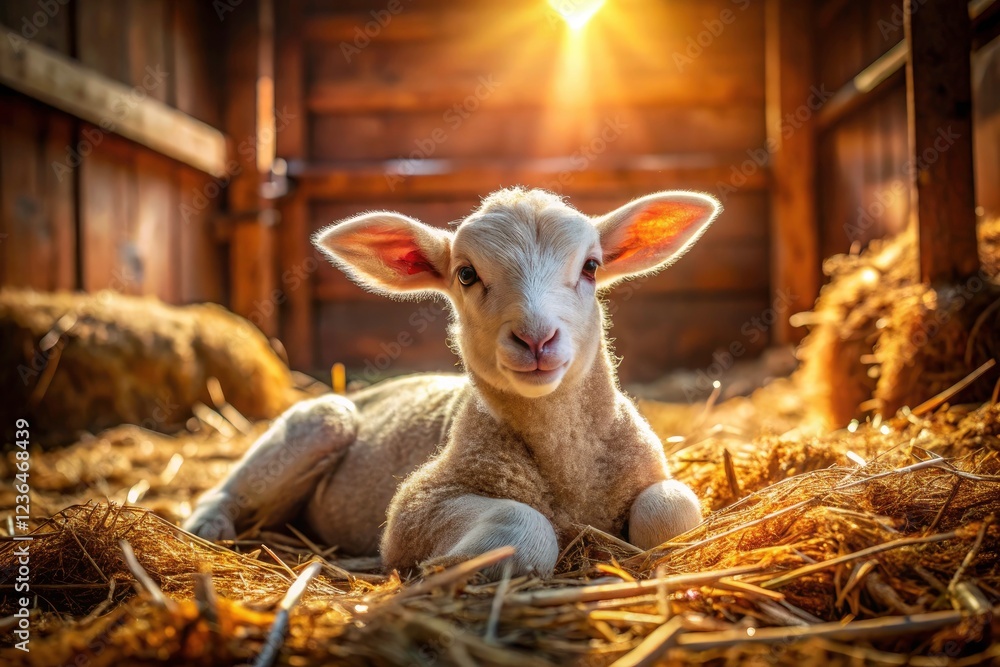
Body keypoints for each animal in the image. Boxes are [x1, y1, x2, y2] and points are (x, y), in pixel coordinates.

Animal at [184, 187, 721, 579]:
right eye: (466, 274)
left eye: (591, 266)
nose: (536, 339)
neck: (570, 477)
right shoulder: (413, 508)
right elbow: (520, 523)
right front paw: (449, 565)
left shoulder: (652, 476)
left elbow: (671, 511)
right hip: (318, 418)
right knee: (228, 489)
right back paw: (207, 525)